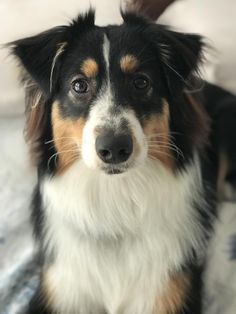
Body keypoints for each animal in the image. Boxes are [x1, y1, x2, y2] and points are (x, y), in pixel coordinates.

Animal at [8, 9, 235, 314]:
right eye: (79, 85)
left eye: (141, 82)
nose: (114, 148)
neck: (115, 198)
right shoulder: (60, 290)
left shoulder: (170, 292)